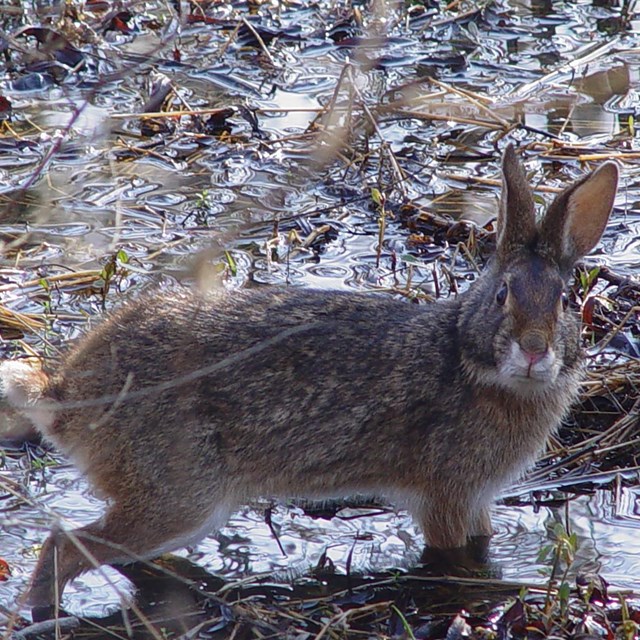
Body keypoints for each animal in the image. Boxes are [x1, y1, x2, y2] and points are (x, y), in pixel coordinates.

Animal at [0, 145, 618, 610]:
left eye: (565, 301)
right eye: (501, 296)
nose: (535, 350)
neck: (468, 359)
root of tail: (65, 396)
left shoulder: (476, 499)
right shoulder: (446, 495)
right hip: (178, 495)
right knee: (64, 546)